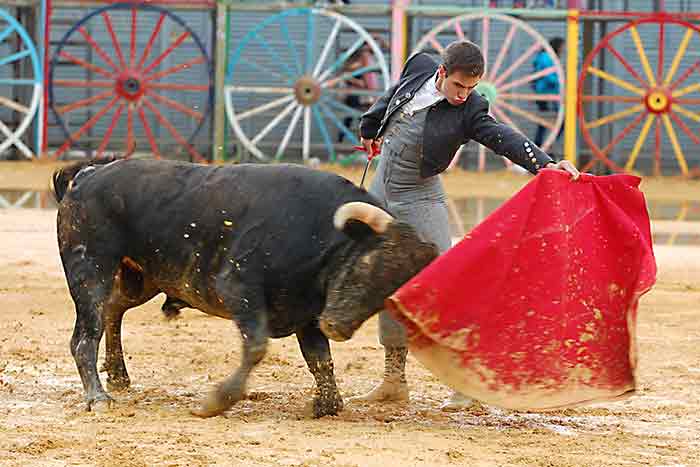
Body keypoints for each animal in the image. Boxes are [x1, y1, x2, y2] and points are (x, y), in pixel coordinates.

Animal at [52, 159, 438, 418]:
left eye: (388, 293)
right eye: (370, 265)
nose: (338, 327)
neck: (319, 233)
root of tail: (88, 175)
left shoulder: (307, 312)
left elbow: (320, 359)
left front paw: (328, 403)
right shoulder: (240, 289)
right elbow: (256, 347)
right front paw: (217, 400)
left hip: (140, 277)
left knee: (113, 308)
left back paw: (118, 374)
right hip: (91, 271)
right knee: (85, 335)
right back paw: (98, 398)